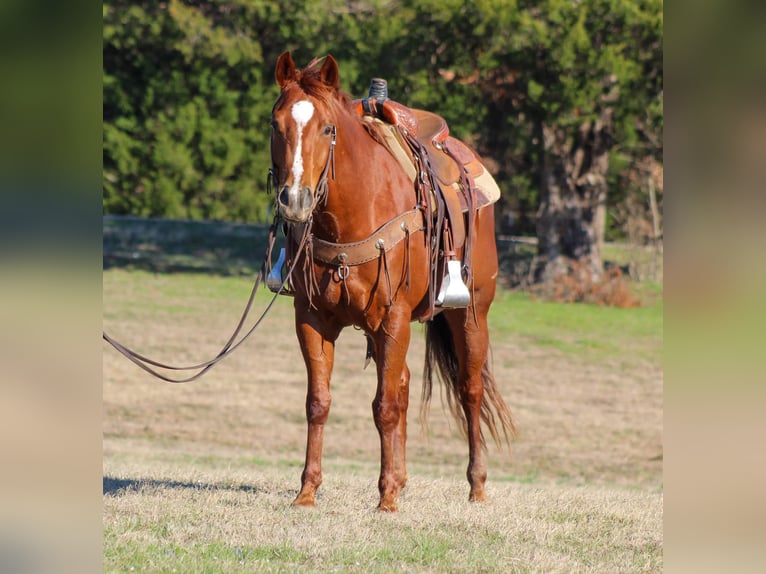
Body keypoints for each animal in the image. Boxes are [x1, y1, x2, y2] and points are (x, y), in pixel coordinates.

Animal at [270, 53, 516, 512]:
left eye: (327, 128)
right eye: (275, 124)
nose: (295, 200)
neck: (352, 213)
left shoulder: (394, 318)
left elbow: (384, 406)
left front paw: (385, 500)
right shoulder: (311, 319)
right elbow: (319, 402)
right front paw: (308, 491)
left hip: (471, 314)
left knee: (469, 390)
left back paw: (476, 486)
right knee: (402, 385)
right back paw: (401, 480)